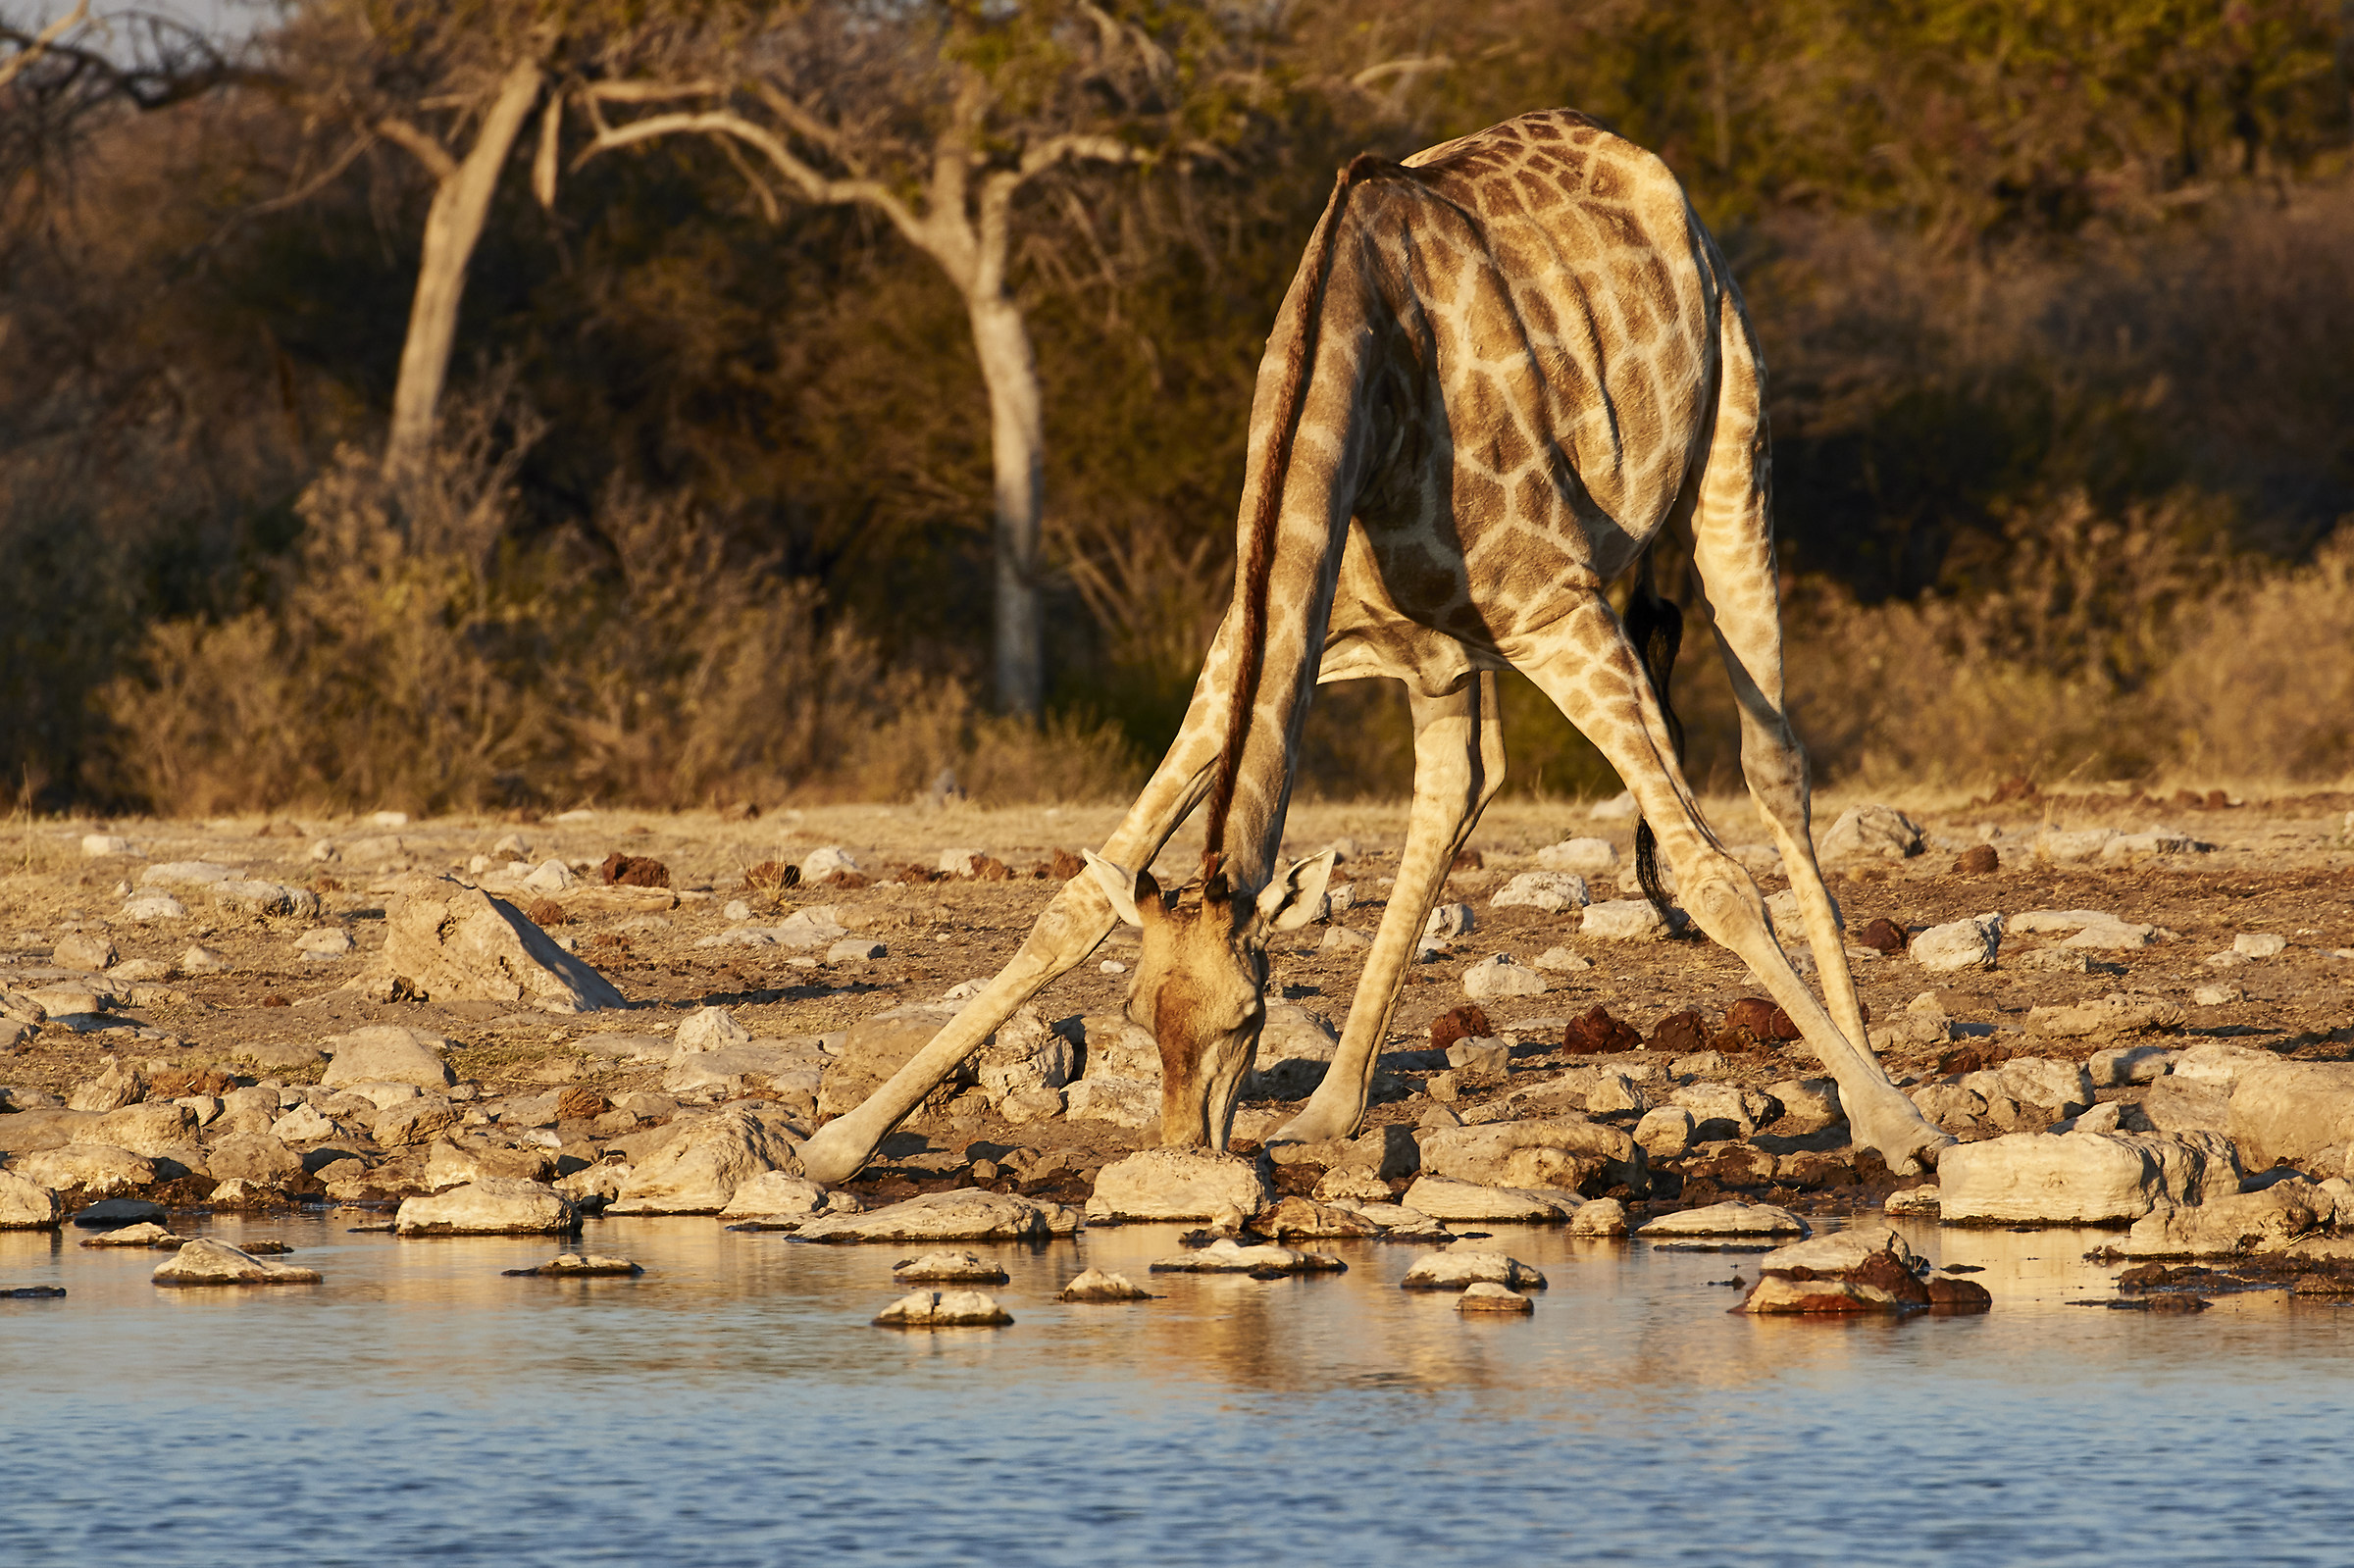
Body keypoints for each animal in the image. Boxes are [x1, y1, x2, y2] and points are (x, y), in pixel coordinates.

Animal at [796, 108, 1952, 1185]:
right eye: (1134, 1015)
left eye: (1248, 1020)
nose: (1185, 1153)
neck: (1357, 382)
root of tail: (1639, 160)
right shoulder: (1268, 640)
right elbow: (1075, 903)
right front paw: (839, 1142)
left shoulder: (1556, 610)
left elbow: (1714, 879)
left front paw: (1903, 1125)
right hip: (1448, 657)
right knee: (1458, 787)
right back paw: (1326, 1110)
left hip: (1731, 456)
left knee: (1773, 762)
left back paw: (1867, 1083)